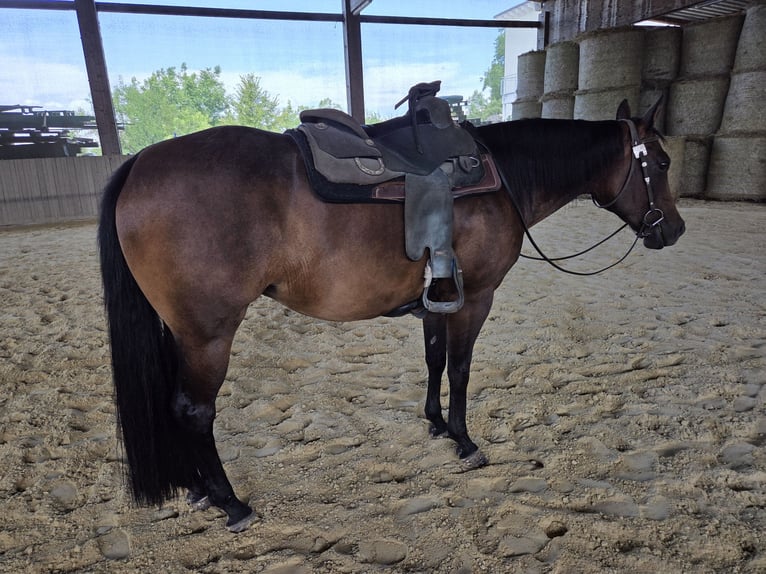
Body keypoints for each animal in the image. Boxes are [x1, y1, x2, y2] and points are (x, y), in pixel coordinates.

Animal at [98, 98, 685, 532]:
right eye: (659, 163)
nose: (674, 230)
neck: (504, 178)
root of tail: (140, 164)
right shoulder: (477, 298)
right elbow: (461, 369)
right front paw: (465, 441)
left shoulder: (438, 298)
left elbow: (434, 360)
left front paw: (435, 424)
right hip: (209, 334)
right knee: (194, 411)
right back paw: (231, 503)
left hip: (182, 332)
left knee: (174, 403)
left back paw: (196, 488)